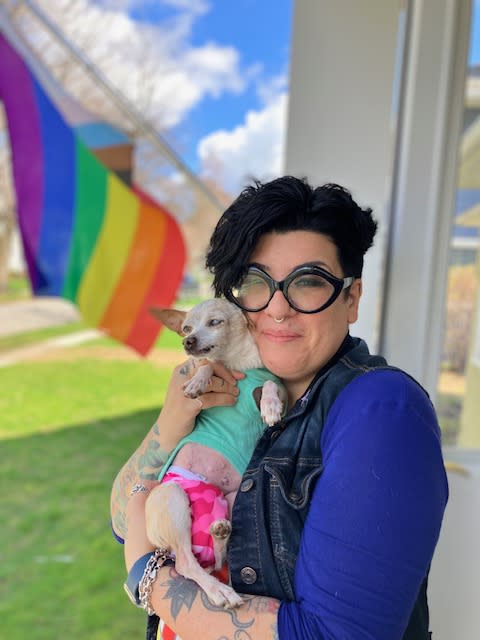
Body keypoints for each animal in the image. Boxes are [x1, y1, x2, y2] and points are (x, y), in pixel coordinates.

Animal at [146, 298, 284, 608]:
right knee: (187, 563)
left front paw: (270, 405)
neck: (239, 363)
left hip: (233, 497)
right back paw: (218, 590)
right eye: (186, 328)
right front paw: (198, 382)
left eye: (215, 322)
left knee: (217, 559)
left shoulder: (280, 386)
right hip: (173, 497)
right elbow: (208, 366)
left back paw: (220, 532)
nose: (187, 341)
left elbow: (271, 384)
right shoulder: (213, 367)